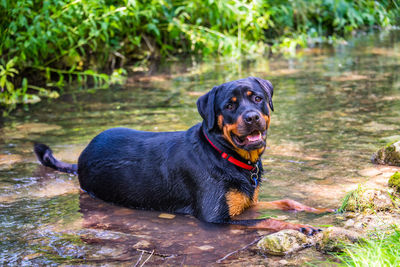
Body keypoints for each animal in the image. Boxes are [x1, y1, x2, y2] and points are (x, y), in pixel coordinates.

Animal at [35, 76, 334, 236]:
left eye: (257, 98)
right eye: (229, 106)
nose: (252, 117)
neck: (224, 155)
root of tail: (81, 156)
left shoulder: (247, 203)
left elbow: (286, 201)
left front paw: (319, 209)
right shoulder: (216, 218)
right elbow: (269, 219)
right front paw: (299, 227)